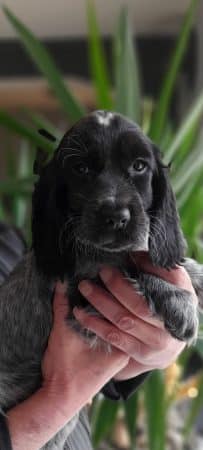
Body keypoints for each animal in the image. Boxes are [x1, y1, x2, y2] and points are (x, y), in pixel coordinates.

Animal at [0, 110, 201, 450]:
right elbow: (129, 271)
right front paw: (181, 303)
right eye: (80, 169)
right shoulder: (80, 294)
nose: (117, 217)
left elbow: (151, 260)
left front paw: (195, 274)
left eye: (139, 166)